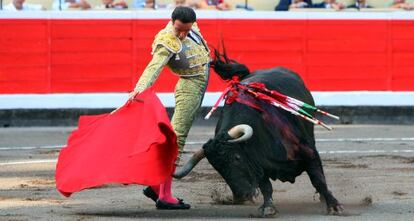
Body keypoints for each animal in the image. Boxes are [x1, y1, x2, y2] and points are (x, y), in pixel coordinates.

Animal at [172, 49, 342, 217]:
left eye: (237, 158)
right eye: (217, 168)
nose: (241, 197)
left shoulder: (308, 153)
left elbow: (318, 179)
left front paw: (334, 206)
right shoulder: (257, 163)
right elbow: (265, 185)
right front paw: (268, 208)